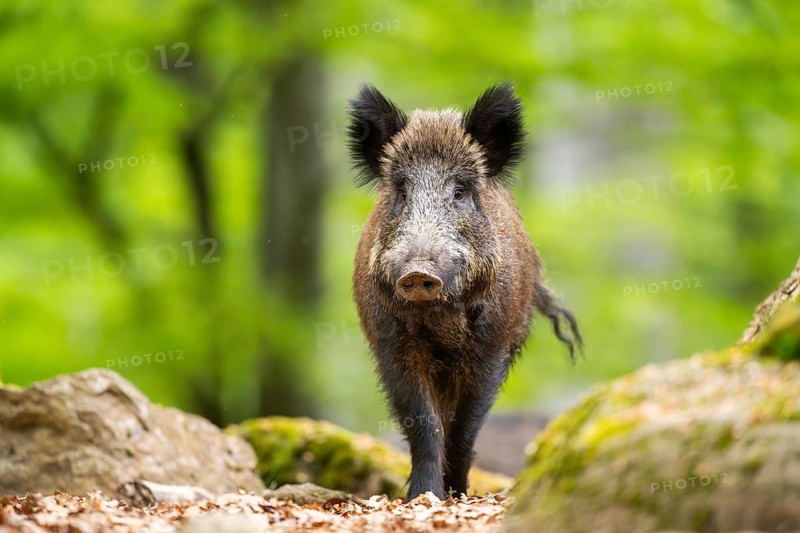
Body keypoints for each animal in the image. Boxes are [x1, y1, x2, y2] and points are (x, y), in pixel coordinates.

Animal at [348, 83, 581, 500]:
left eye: (459, 192)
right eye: (402, 191)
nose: (418, 271)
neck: (440, 319)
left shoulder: (492, 347)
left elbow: (465, 426)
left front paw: (455, 494)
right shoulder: (390, 346)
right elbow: (424, 423)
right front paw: (423, 496)